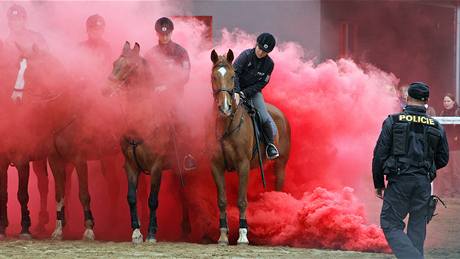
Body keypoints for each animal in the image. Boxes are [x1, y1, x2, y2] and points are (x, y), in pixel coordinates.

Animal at [108, 41, 192, 245]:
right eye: (114, 63)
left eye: (130, 67)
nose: (105, 89)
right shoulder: (130, 165)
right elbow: (131, 197)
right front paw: (136, 232)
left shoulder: (156, 167)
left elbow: (153, 200)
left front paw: (152, 233)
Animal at [209, 49, 290, 246]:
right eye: (214, 76)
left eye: (232, 76)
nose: (224, 107)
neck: (226, 125)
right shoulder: (216, 166)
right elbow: (221, 201)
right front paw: (223, 235)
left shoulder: (243, 165)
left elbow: (241, 201)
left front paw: (243, 235)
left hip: (281, 164)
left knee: (279, 187)